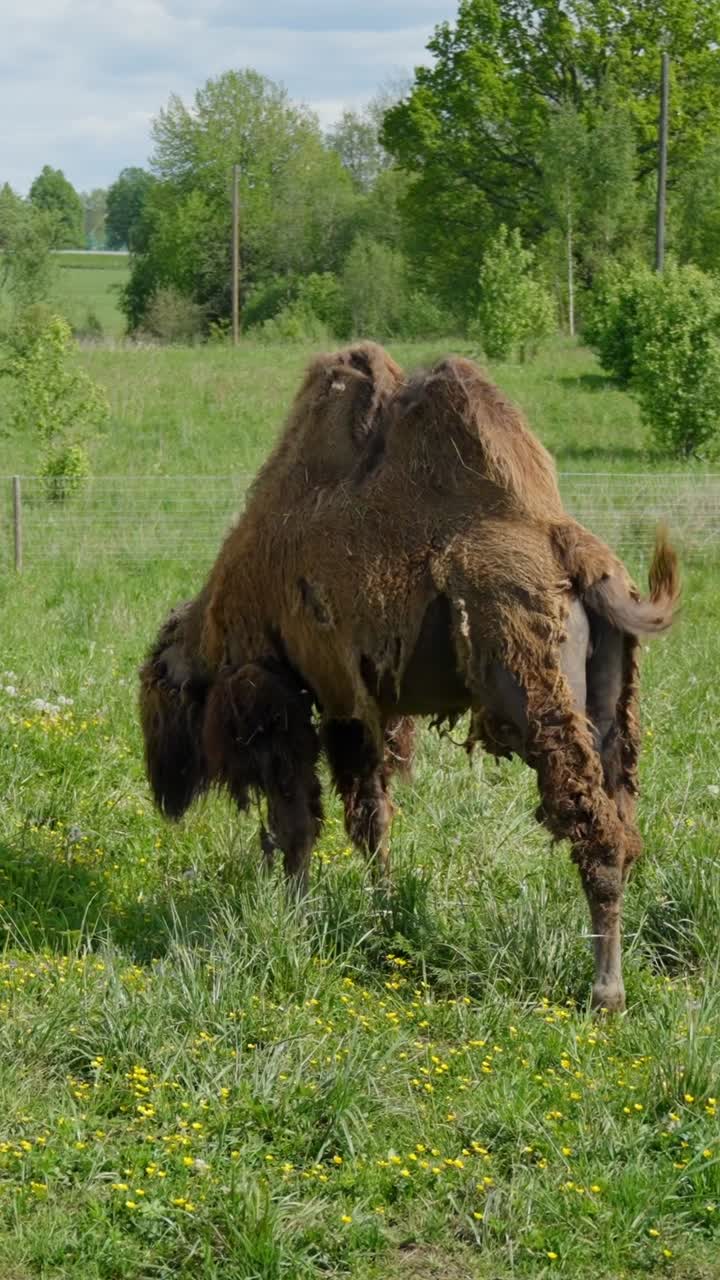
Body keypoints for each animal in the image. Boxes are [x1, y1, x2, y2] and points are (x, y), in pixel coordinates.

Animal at [139, 343, 679, 1013]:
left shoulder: (288, 699)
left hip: (533, 698)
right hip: (612, 712)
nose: (163, 785)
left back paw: (604, 992)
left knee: (594, 831)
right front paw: (384, 912)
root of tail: (571, 549)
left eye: (156, 695)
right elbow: (372, 818)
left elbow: (298, 822)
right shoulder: (362, 710)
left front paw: (294, 915)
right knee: (622, 823)